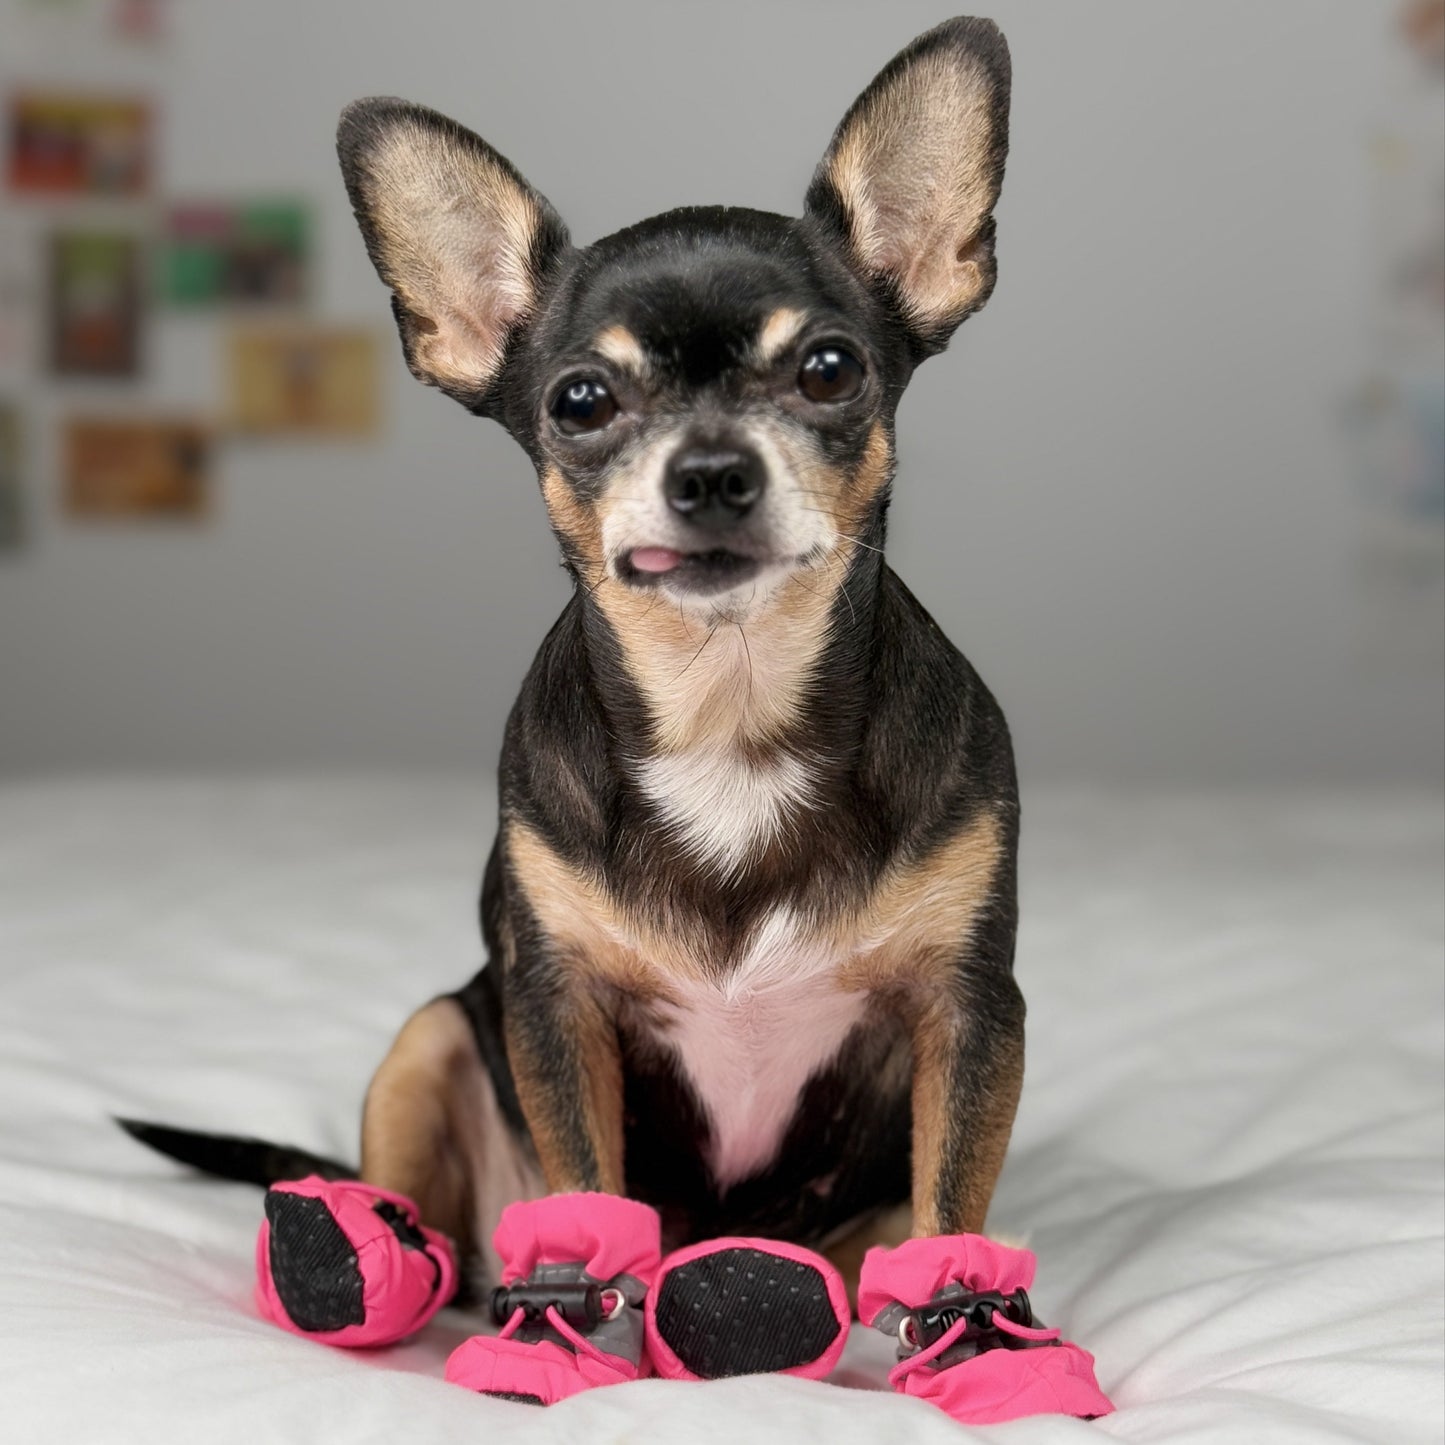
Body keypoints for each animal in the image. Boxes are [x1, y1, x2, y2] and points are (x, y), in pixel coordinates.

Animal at [127, 14, 1103, 1421]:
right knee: (436, 1215)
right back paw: (362, 1255)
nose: (710, 471)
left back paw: (762, 1298)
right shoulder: (557, 1008)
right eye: (579, 400)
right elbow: (584, 1197)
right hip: (434, 1036)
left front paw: (980, 1348)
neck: (728, 710)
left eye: (829, 368)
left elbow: (949, 1209)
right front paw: (559, 1340)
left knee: (875, 1244)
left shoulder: (968, 1015)